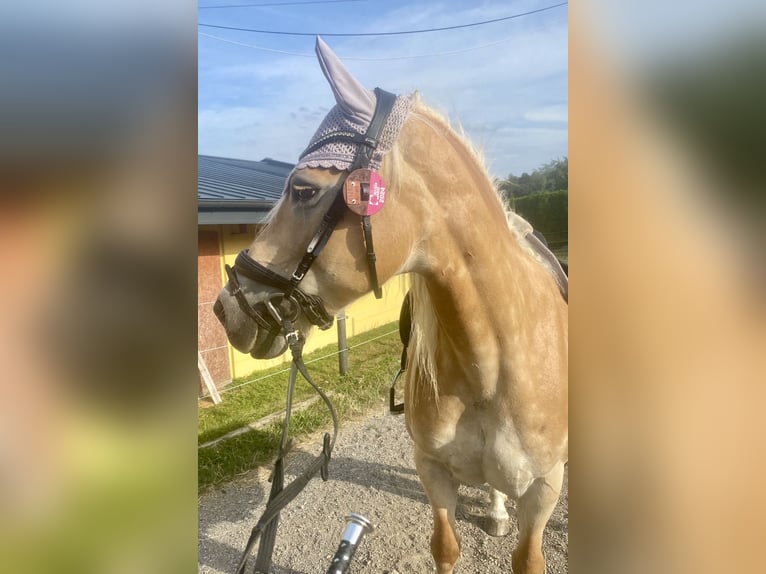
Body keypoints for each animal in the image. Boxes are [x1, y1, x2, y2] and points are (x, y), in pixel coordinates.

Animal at [213, 37, 568, 574]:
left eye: (303, 189)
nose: (224, 308)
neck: (493, 365)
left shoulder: (545, 488)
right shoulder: (433, 472)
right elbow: (445, 548)